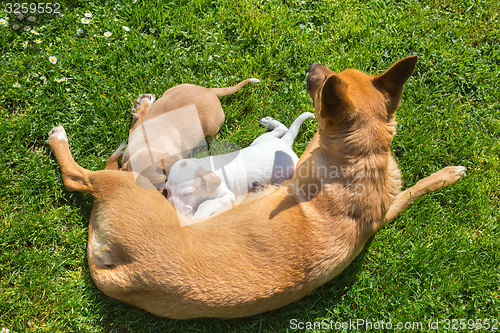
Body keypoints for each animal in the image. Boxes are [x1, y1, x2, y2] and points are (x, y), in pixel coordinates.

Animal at [166, 112, 314, 223]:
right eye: (167, 190)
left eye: (187, 194)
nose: (171, 205)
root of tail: (285, 144)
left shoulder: (226, 195)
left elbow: (205, 204)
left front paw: (197, 217)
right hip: (260, 140)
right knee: (282, 128)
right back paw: (269, 122)